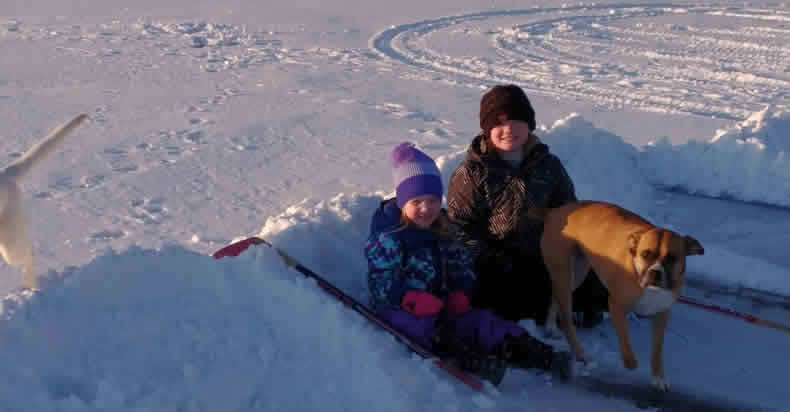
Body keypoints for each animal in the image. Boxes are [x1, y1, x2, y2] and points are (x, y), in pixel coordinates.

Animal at [532, 201, 704, 392]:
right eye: (645, 254)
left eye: (672, 258)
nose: (655, 273)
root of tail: (554, 212)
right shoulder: (616, 305)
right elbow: (624, 337)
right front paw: (630, 362)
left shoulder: (662, 313)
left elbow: (657, 350)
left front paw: (658, 376)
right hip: (563, 271)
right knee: (566, 319)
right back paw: (579, 352)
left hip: (574, 274)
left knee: (555, 295)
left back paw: (550, 326)